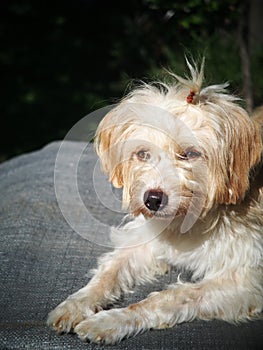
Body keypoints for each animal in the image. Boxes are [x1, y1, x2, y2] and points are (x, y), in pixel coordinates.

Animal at [48, 60, 263, 344]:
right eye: (143, 154)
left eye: (190, 154)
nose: (152, 200)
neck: (192, 220)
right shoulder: (143, 241)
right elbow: (109, 271)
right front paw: (76, 303)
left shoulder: (246, 281)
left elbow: (170, 296)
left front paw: (111, 320)